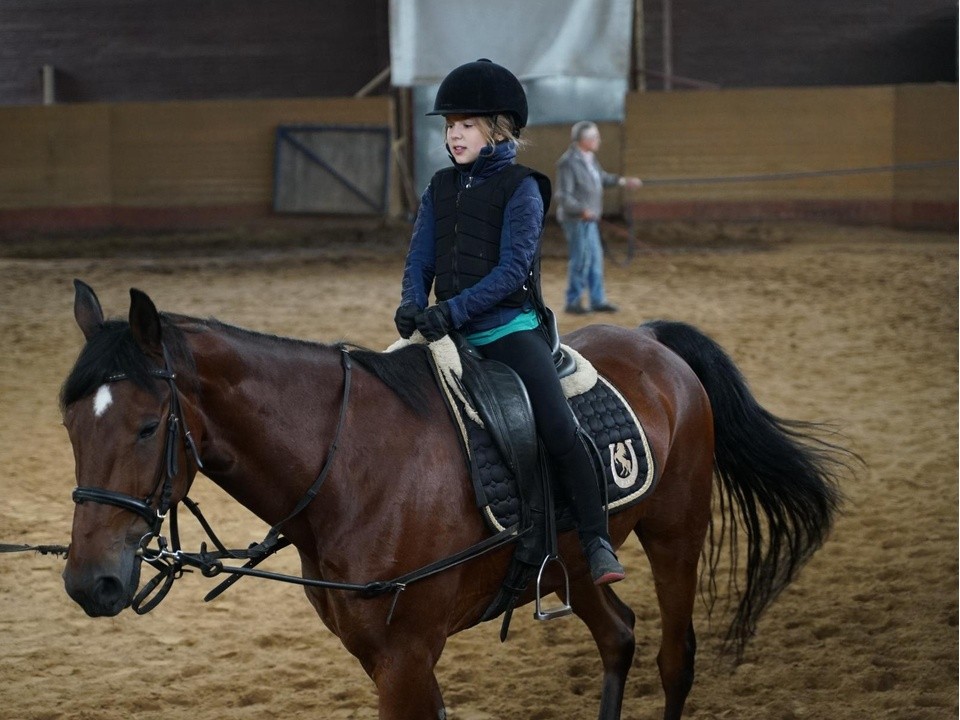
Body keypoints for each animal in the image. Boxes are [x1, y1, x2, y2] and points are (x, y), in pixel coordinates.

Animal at [60, 280, 844, 720]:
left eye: (147, 425)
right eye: (69, 422)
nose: (89, 582)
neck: (352, 468)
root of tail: (654, 343)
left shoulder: (406, 656)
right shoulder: (385, 657)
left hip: (676, 532)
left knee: (674, 659)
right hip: (573, 562)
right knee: (618, 634)